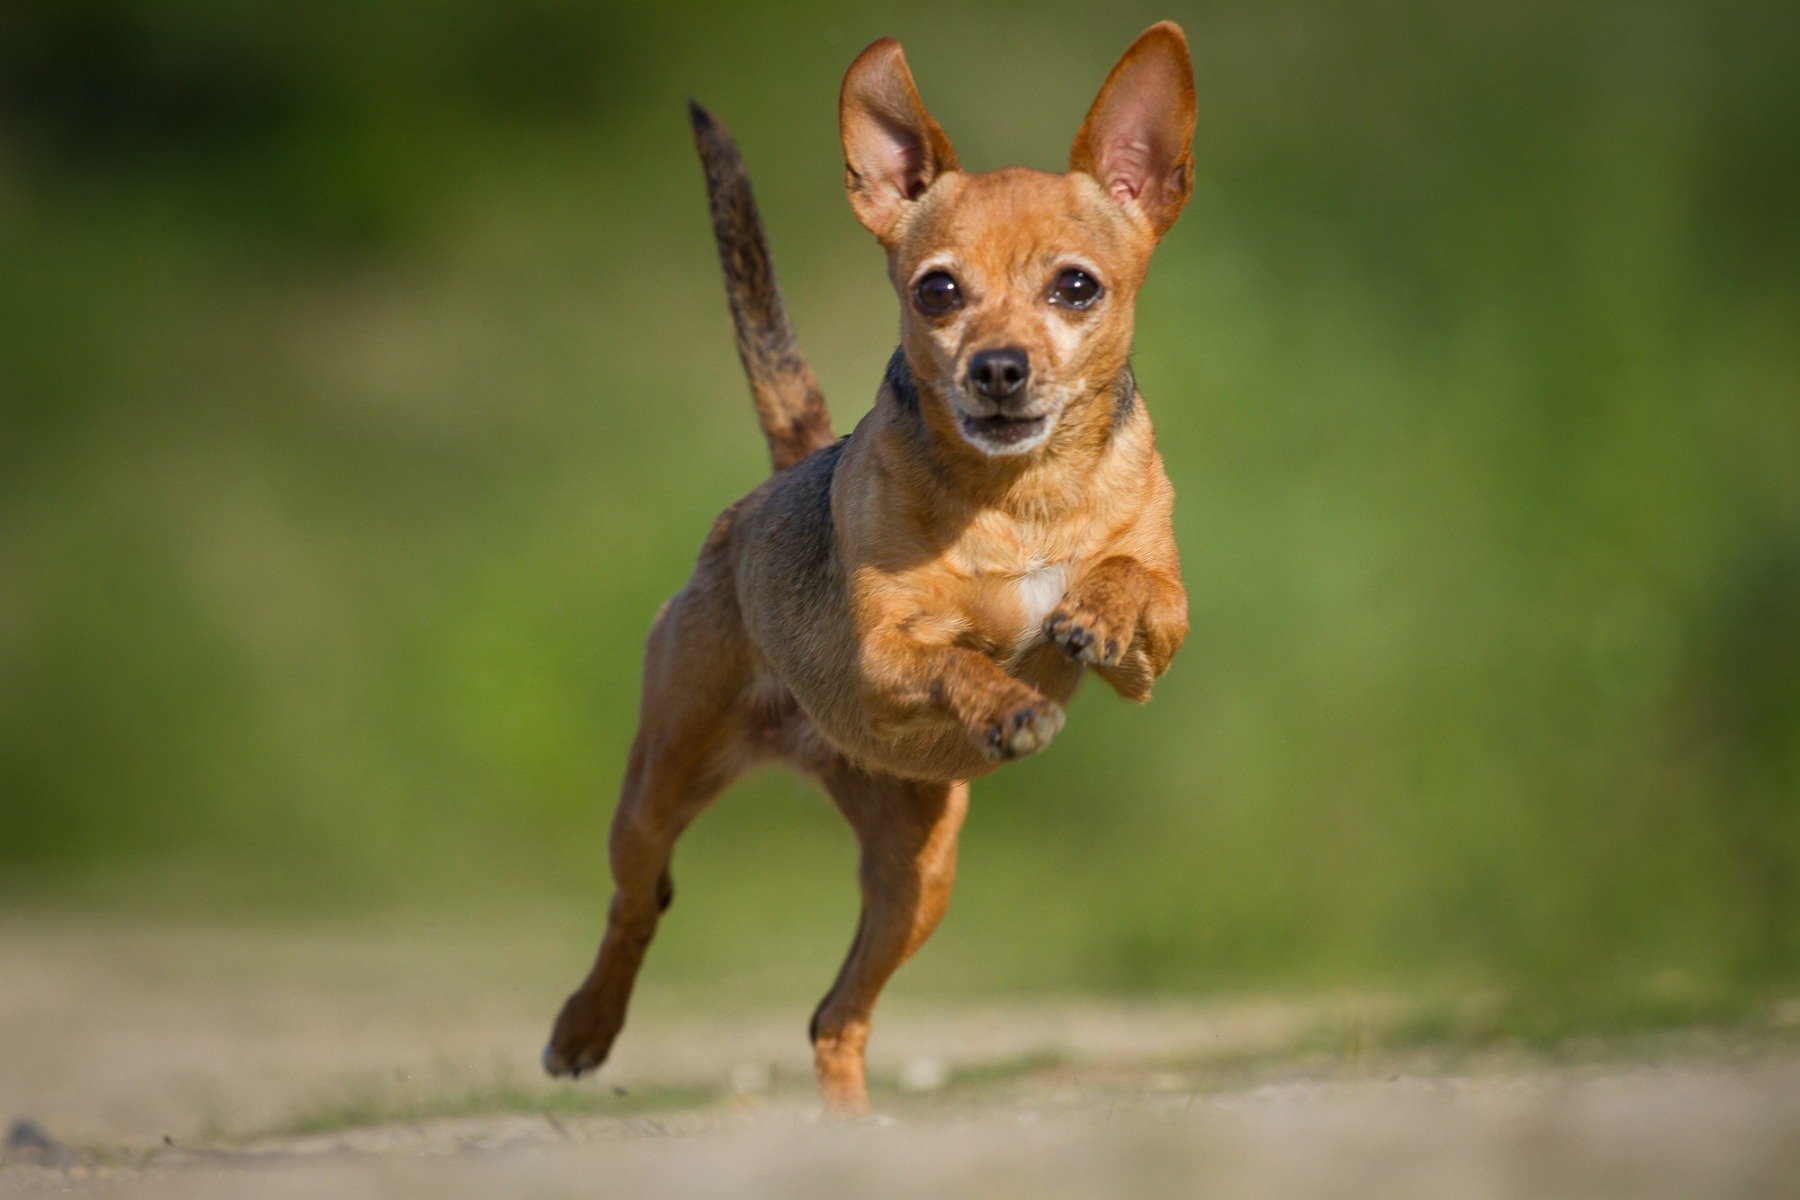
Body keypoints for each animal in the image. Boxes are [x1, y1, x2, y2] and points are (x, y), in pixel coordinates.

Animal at [547, 18, 1195, 1115]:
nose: (997, 368)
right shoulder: (881, 653)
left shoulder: (1155, 659)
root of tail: (786, 467)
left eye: (1076, 286)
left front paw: (1094, 606)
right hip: (658, 783)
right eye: (939, 289)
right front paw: (1006, 701)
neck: (1018, 494)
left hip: (916, 877)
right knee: (640, 901)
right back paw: (583, 1030)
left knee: (833, 1015)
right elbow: (954, 656)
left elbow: (1136, 581)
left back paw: (850, 1131)